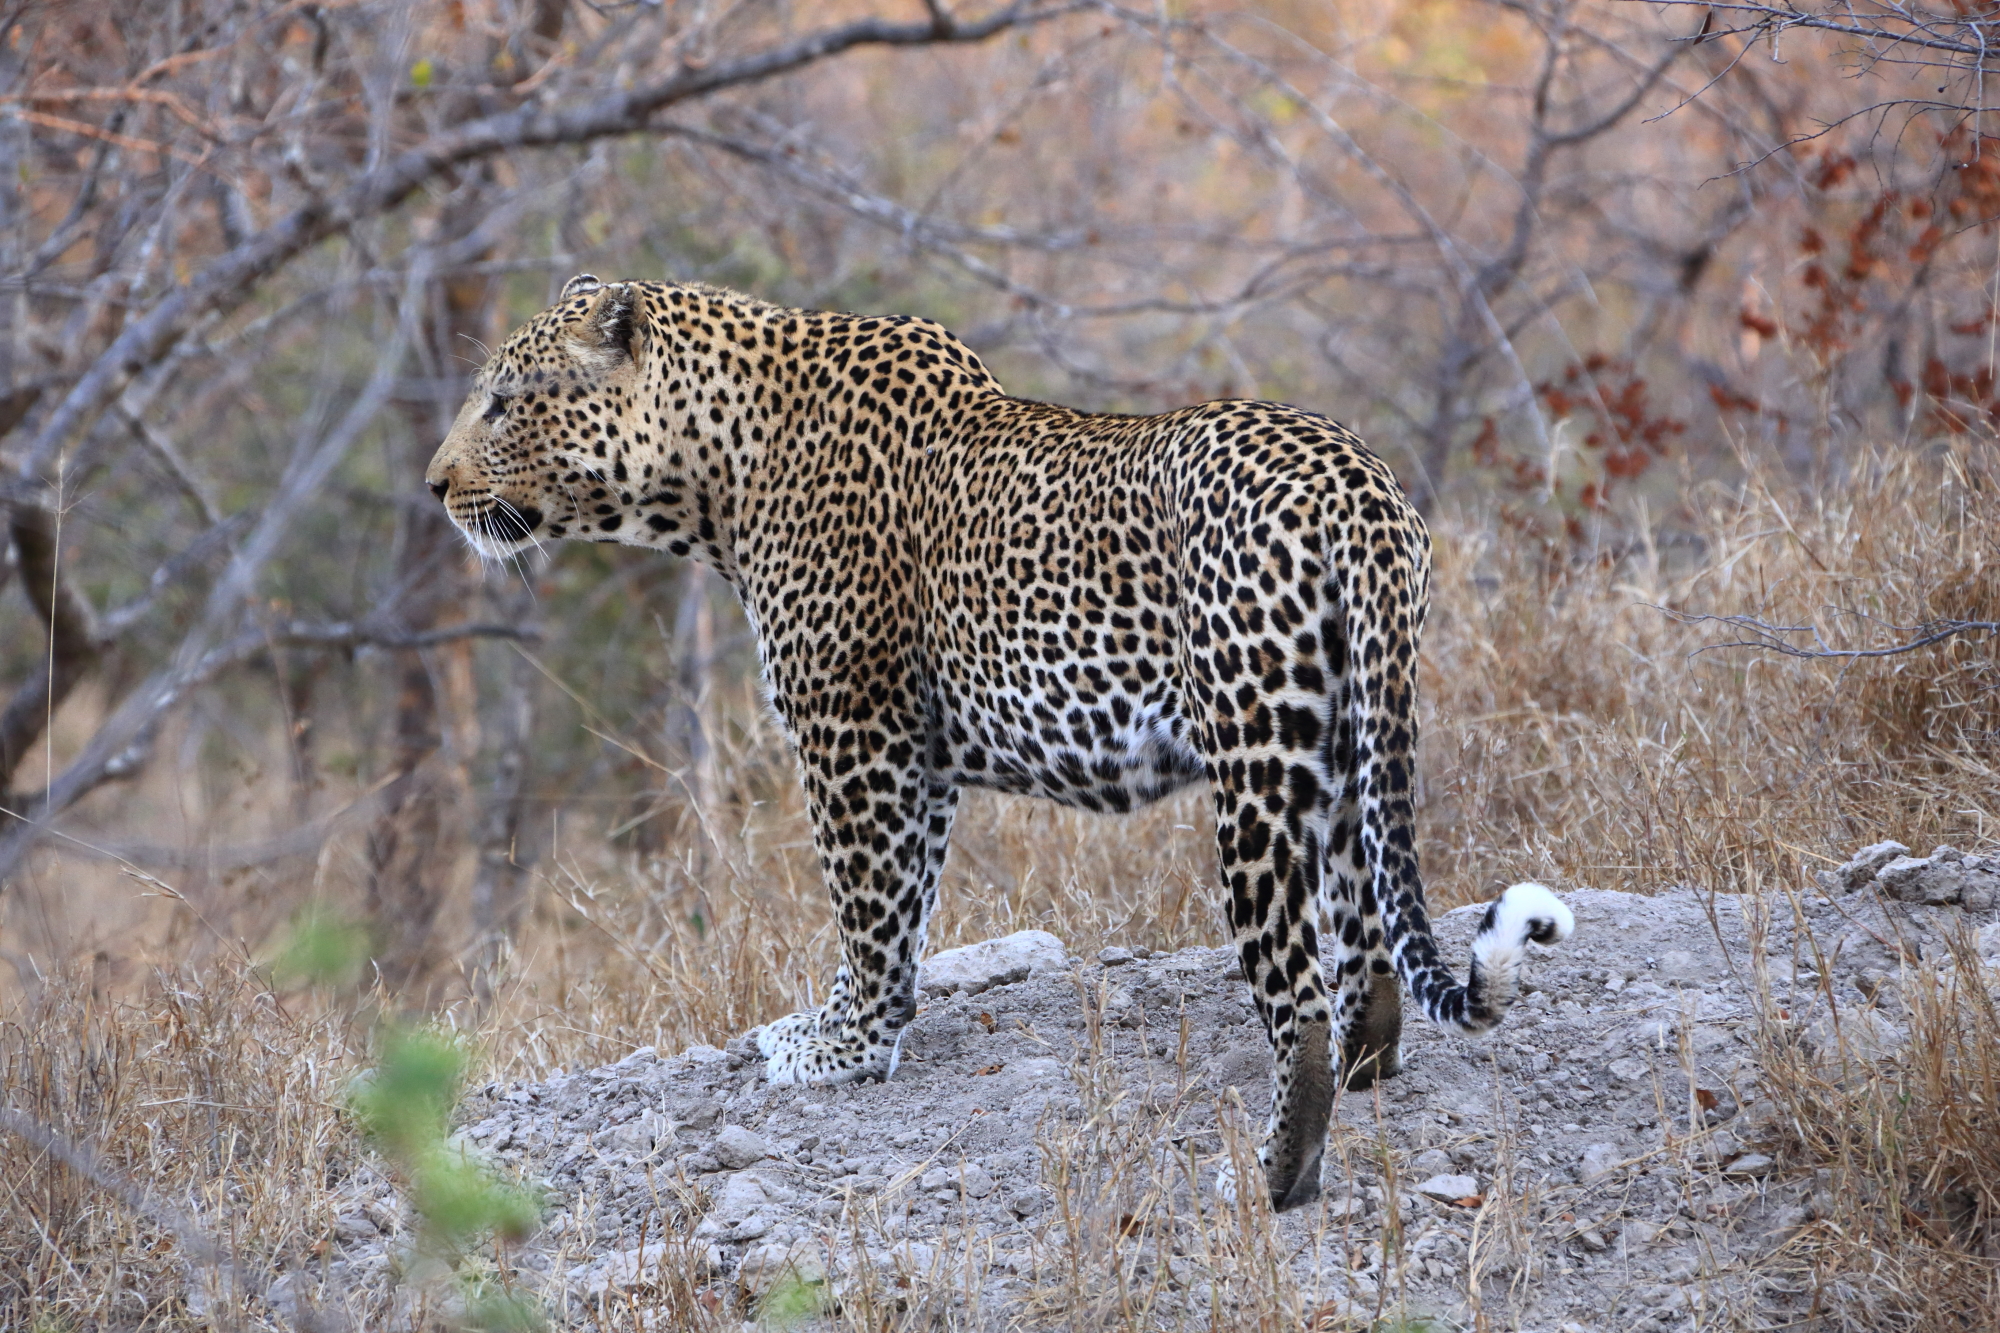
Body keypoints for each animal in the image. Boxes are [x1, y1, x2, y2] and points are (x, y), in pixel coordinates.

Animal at [425, 274, 1574, 1212]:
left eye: (504, 399)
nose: (434, 484)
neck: (717, 473)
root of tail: (1358, 485)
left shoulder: (855, 733)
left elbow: (868, 907)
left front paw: (844, 1048)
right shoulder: (919, 755)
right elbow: (896, 907)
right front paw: (838, 1028)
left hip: (1253, 771)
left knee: (1290, 999)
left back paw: (1269, 1176)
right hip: (1347, 745)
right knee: (1368, 954)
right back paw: (1365, 1065)